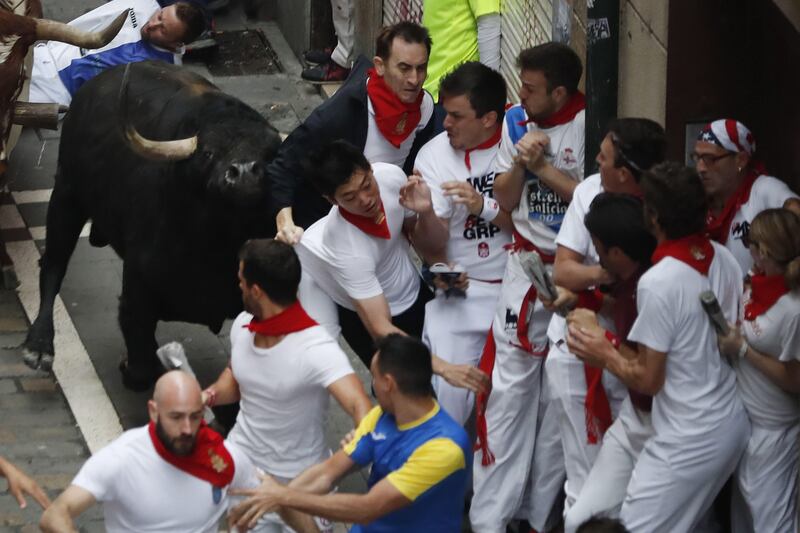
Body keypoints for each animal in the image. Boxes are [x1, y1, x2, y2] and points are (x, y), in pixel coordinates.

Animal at [22, 60, 282, 388]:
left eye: (269, 154)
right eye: (208, 152)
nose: (245, 173)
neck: (216, 243)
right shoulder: (136, 293)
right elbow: (143, 364)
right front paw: (130, 368)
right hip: (66, 196)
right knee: (53, 264)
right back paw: (38, 346)